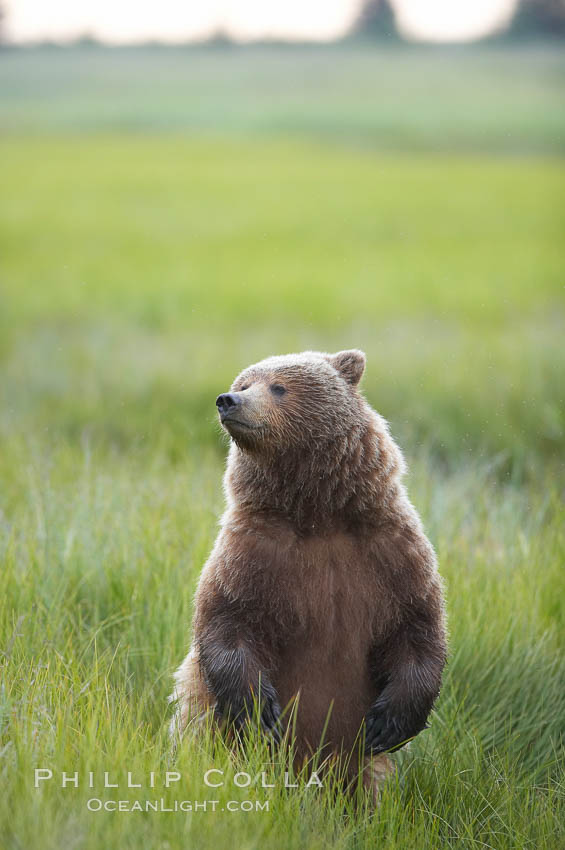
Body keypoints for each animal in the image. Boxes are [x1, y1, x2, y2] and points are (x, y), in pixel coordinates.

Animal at [170, 348, 448, 800]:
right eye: (244, 382)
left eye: (279, 386)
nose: (228, 400)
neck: (319, 514)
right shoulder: (254, 554)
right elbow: (226, 620)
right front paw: (260, 711)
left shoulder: (391, 552)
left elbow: (417, 626)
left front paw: (391, 724)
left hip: (355, 769)